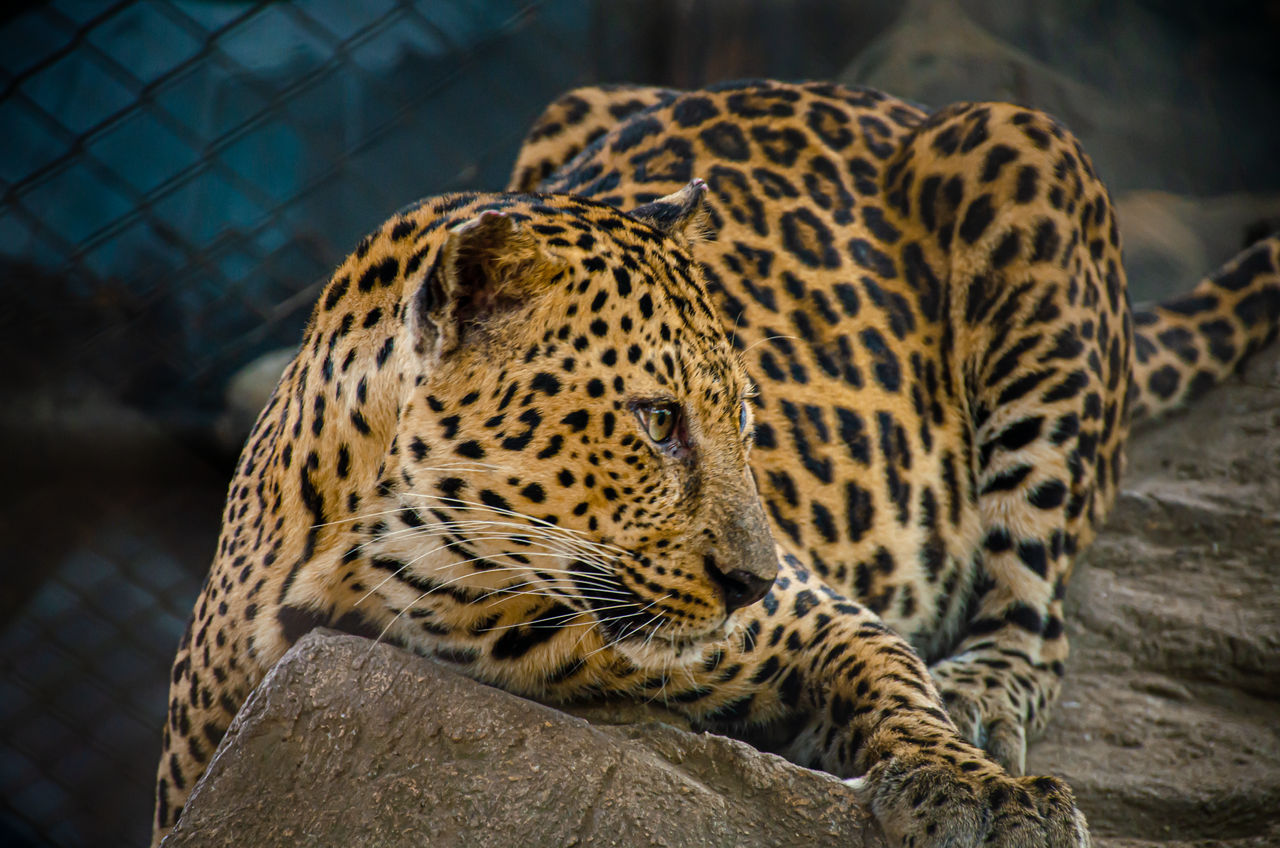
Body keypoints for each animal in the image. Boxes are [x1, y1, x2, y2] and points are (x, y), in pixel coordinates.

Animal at [154, 79, 1280, 847]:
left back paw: (981, 698)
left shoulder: (821, 613)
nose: (749, 579)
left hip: (1024, 155)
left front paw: (979, 788)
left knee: (1035, 610)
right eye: (656, 422)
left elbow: (895, 684)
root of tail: (890, 104)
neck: (409, 583)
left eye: (743, 416)